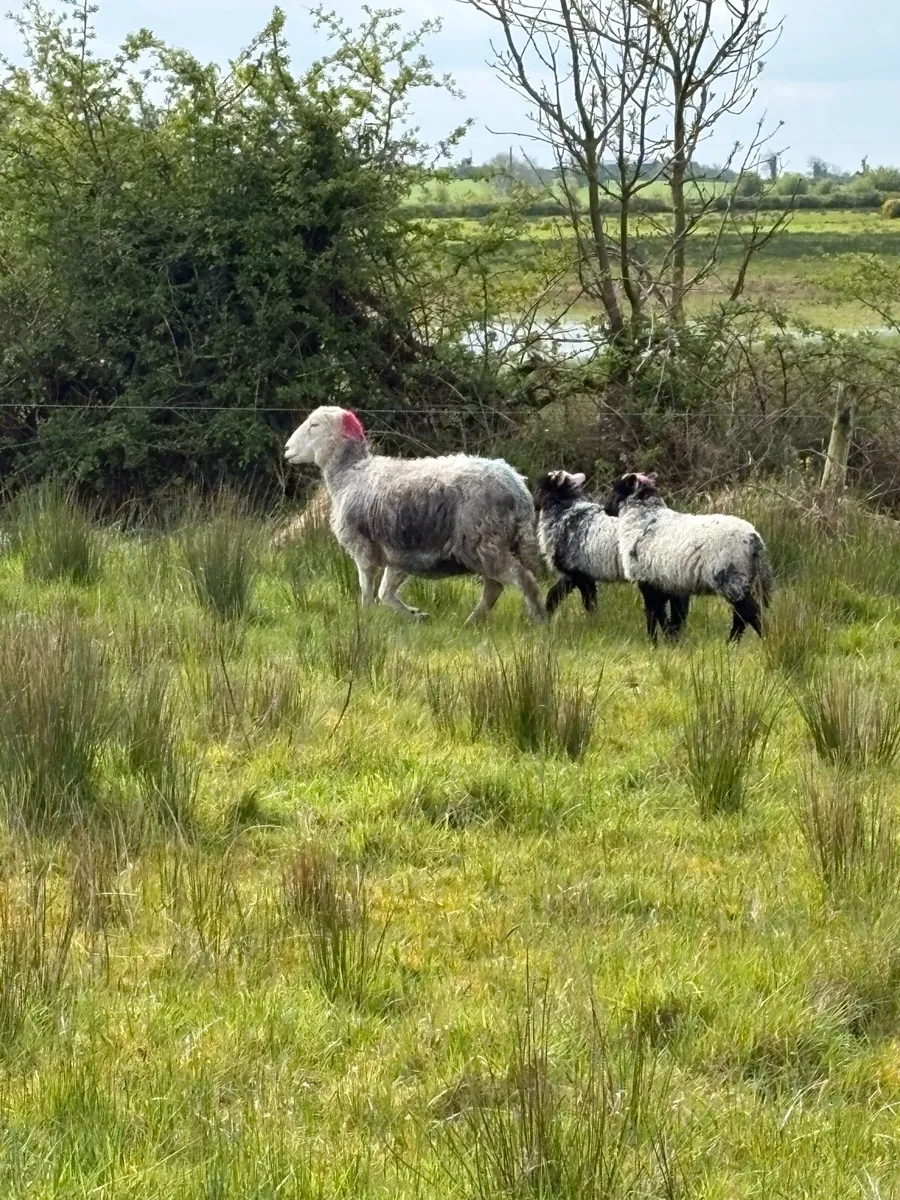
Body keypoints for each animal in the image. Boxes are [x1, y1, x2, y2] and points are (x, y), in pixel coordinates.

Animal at [283, 406, 547, 625]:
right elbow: (385, 593)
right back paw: (473, 621)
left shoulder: (363, 547)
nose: (286, 449)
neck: (350, 473)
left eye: (315, 425)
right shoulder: (399, 554)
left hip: (483, 541)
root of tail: (517, 487)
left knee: (521, 581)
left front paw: (364, 621)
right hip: (492, 544)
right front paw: (416, 615)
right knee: (495, 587)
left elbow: (367, 589)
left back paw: (539, 623)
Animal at [534, 469, 689, 633]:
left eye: (539, 489)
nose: (534, 504)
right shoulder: (581, 574)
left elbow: (574, 601)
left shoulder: (576, 573)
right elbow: (573, 598)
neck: (564, 513)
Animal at [603, 472, 773, 644]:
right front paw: (673, 642)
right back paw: (731, 645)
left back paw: (762, 641)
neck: (643, 518)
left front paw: (654, 644)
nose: (605, 508)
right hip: (742, 580)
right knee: (742, 617)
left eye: (616, 488)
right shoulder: (671, 585)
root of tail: (755, 539)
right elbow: (674, 617)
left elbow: (653, 614)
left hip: (732, 579)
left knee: (750, 614)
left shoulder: (647, 581)